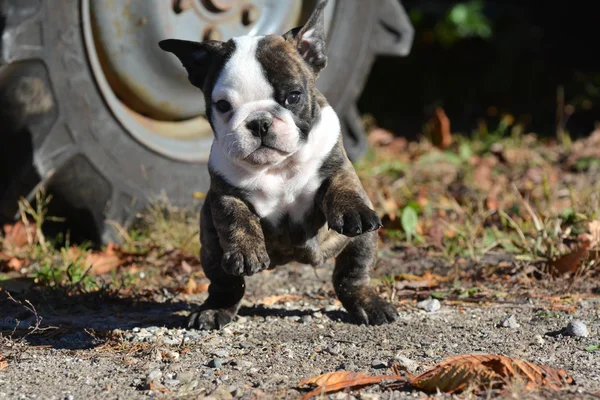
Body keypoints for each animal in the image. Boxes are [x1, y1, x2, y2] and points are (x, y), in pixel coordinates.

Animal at [158, 0, 398, 330]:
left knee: (351, 275)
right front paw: (246, 249)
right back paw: (215, 309)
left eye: (293, 96)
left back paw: (368, 304)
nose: (259, 122)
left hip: (359, 244)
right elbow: (236, 218)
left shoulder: (335, 166)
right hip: (211, 246)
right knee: (226, 283)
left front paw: (353, 210)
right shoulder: (223, 193)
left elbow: (343, 187)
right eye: (223, 106)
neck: (278, 167)